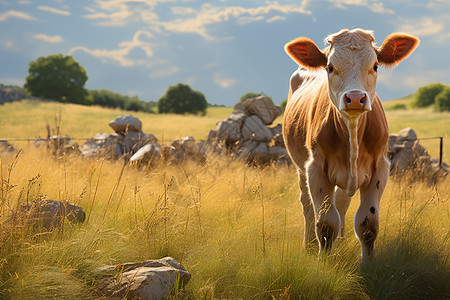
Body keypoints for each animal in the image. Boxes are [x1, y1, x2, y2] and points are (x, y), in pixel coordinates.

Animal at [284, 28, 420, 262]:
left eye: (375, 66)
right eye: (330, 67)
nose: (355, 98)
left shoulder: (379, 169)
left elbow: (367, 224)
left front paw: (368, 266)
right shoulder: (315, 168)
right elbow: (326, 222)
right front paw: (323, 262)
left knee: (341, 203)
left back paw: (341, 239)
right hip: (300, 167)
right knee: (307, 204)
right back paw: (308, 244)